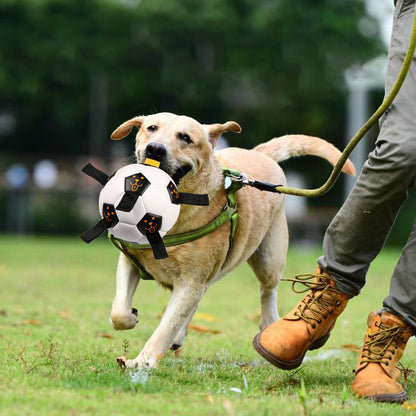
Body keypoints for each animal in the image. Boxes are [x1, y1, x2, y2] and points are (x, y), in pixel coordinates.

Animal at [107, 111, 354, 368]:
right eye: (151, 128)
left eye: (185, 137)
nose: (155, 149)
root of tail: (259, 153)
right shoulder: (130, 260)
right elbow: (119, 311)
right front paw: (131, 317)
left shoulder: (191, 281)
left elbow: (166, 326)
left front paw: (144, 361)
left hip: (268, 257)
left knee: (268, 291)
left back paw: (269, 323)